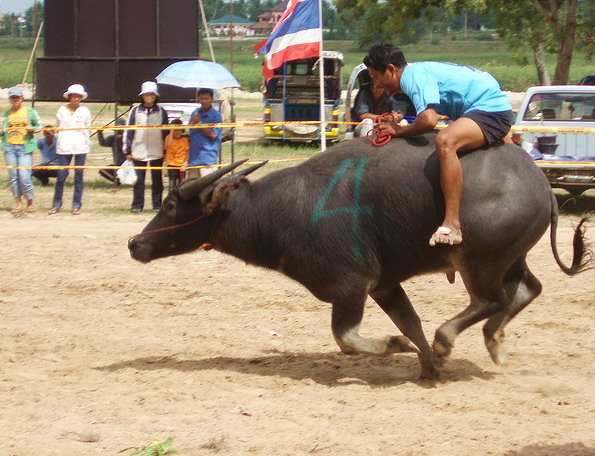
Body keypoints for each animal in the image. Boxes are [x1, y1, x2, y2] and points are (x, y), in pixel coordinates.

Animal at [128, 133, 588, 382]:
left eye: (170, 204)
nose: (135, 244)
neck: (286, 209)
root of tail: (540, 183)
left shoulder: (352, 282)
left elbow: (346, 338)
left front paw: (397, 347)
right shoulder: (385, 284)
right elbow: (410, 323)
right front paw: (425, 367)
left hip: (477, 259)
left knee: (491, 299)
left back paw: (452, 340)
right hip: (511, 258)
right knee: (527, 289)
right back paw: (494, 342)